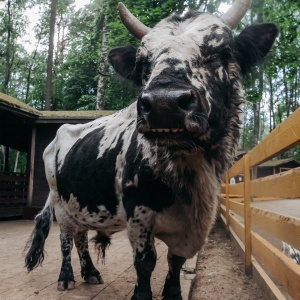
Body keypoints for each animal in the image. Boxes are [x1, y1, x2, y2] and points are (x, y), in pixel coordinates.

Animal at [24, 1, 278, 298]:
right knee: (65, 238)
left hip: (80, 202)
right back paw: (67, 277)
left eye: (221, 52)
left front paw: (173, 292)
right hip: (61, 204)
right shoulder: (139, 217)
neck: (187, 178)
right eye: (143, 63)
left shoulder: (191, 228)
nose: (163, 103)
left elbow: (175, 261)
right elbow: (146, 262)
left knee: (80, 237)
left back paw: (90, 273)